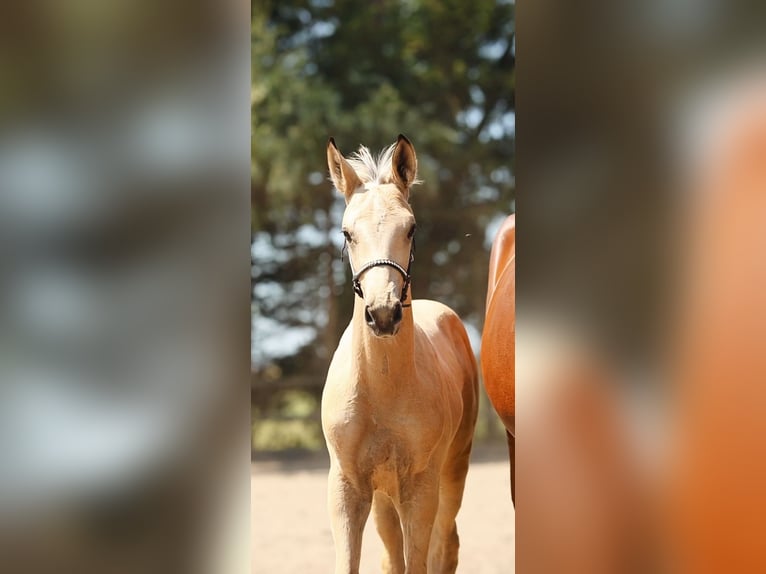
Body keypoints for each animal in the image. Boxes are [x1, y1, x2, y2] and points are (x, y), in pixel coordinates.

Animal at [321, 135, 479, 574]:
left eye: (411, 228)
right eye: (347, 233)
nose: (383, 313)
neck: (382, 389)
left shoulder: (420, 486)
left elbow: (420, 561)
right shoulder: (347, 487)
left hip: (452, 471)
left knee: (446, 544)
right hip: (384, 497)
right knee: (393, 555)